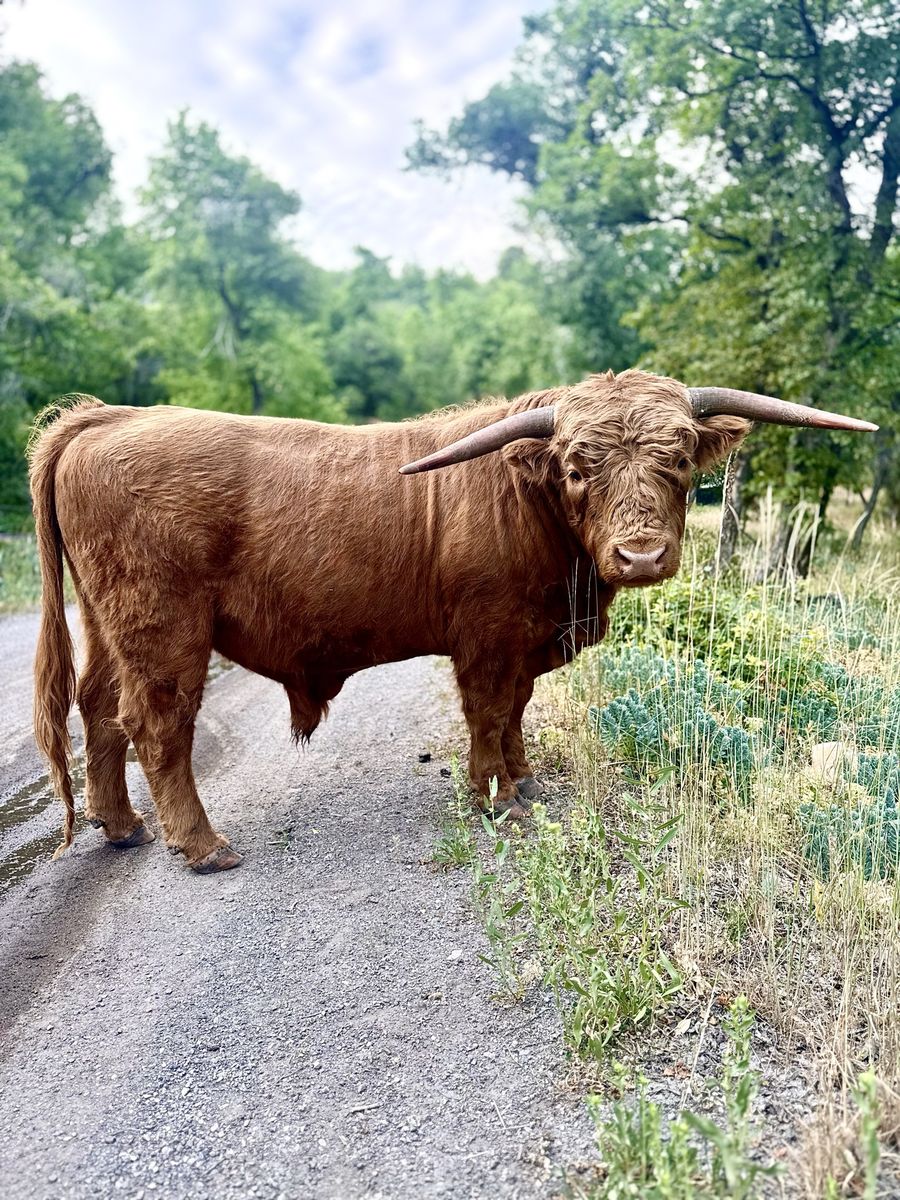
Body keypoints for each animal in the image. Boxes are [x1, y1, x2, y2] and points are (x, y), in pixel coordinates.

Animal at [29, 369, 875, 873]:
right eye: (577, 468)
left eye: (676, 463)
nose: (640, 555)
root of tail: (104, 419)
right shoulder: (489, 636)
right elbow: (489, 713)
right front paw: (492, 796)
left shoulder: (529, 641)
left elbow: (518, 713)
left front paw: (523, 779)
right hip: (164, 627)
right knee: (157, 724)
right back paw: (202, 846)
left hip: (107, 626)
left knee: (99, 712)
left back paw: (122, 826)